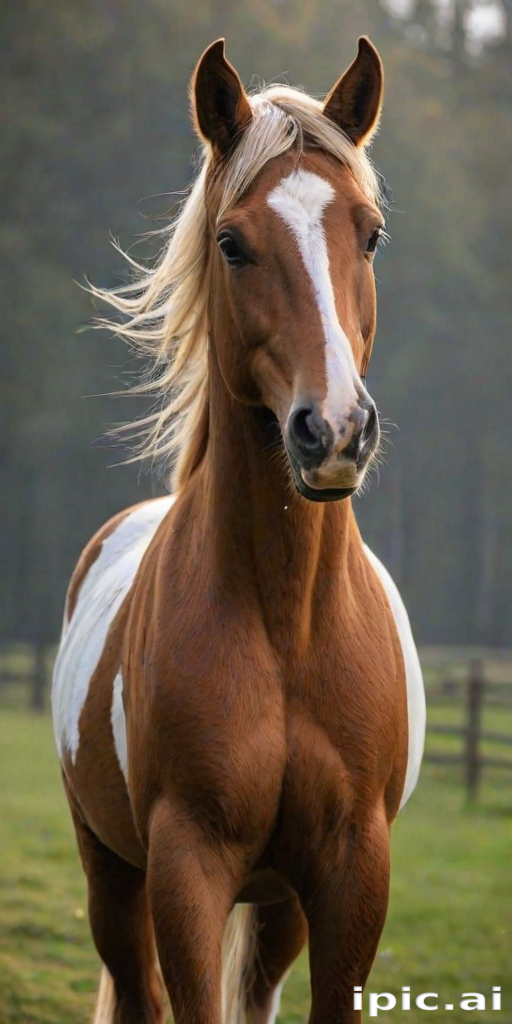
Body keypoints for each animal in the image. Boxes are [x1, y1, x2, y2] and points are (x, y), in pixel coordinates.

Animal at [52, 36, 426, 1024]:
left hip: (278, 905)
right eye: (232, 243)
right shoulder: (186, 869)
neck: (286, 624)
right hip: (111, 875)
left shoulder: (350, 875)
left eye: (369, 233)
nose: (333, 430)